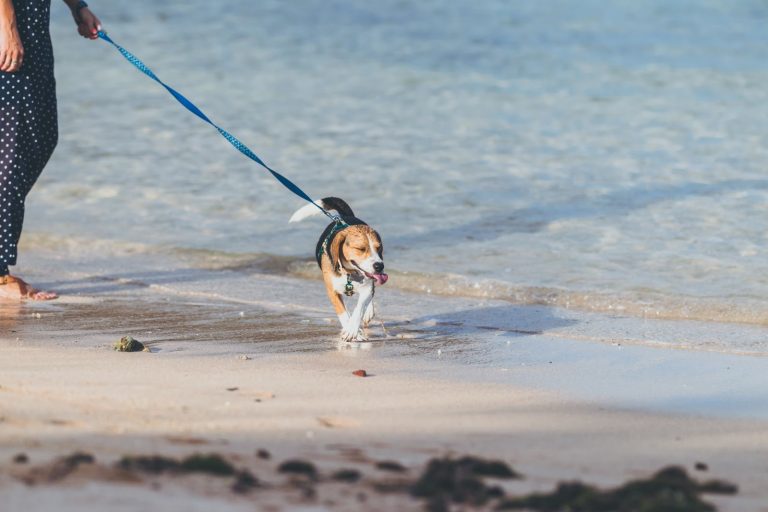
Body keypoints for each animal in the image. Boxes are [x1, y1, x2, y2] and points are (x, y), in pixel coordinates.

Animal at [290, 198, 388, 342]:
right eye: (361, 249)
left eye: (379, 248)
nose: (379, 266)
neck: (349, 273)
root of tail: (344, 217)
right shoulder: (332, 291)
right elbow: (343, 313)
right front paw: (354, 332)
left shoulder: (366, 289)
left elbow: (359, 308)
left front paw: (352, 330)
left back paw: (369, 311)